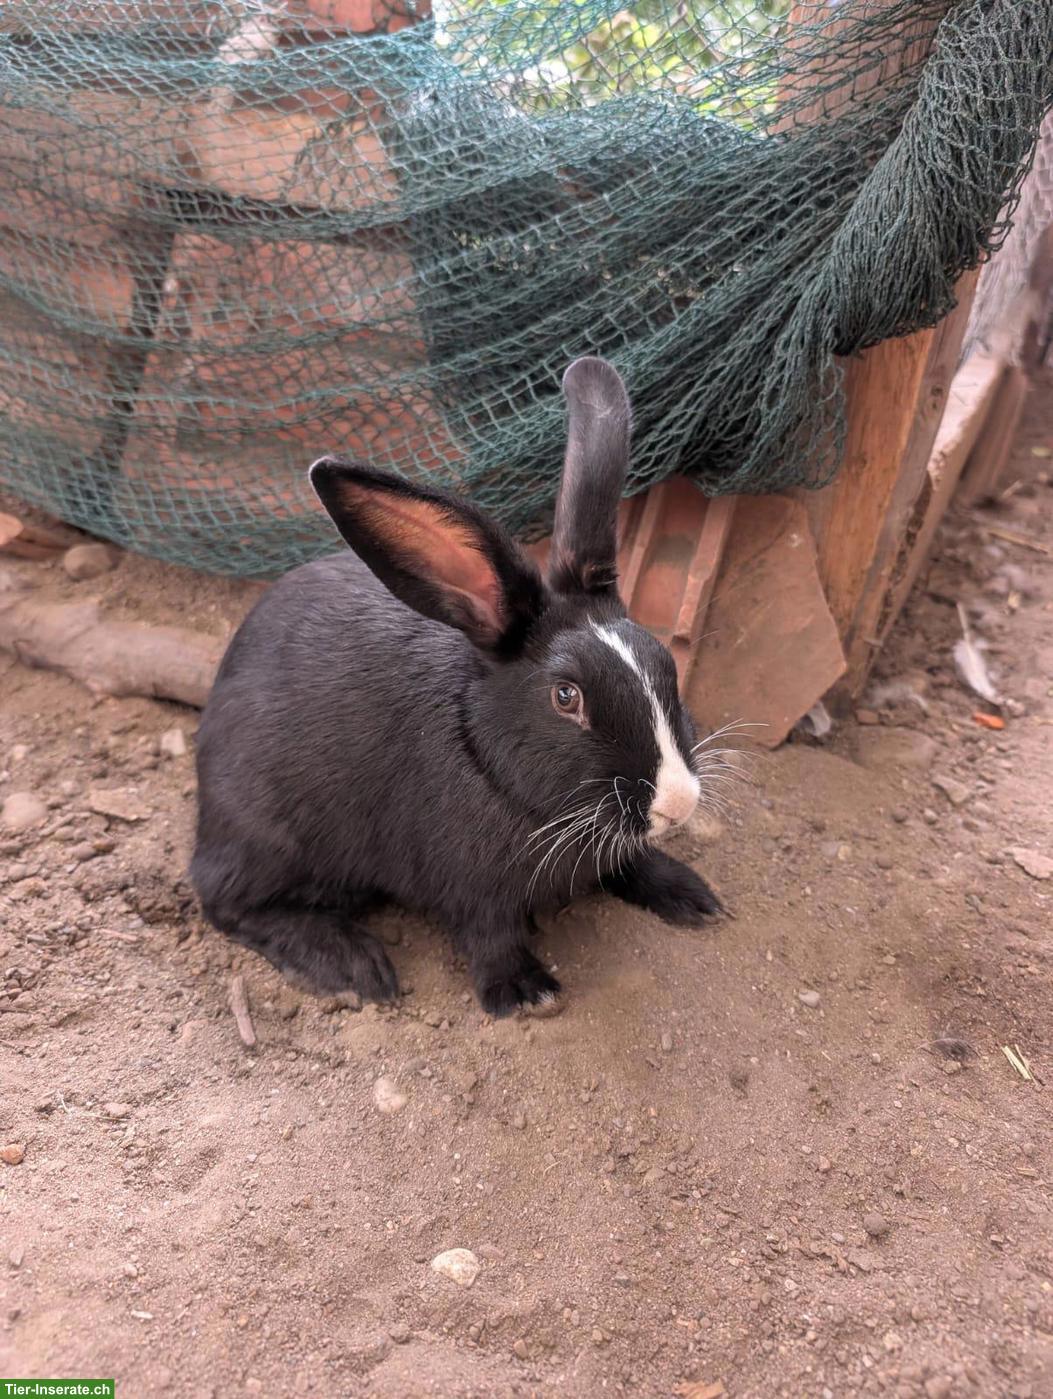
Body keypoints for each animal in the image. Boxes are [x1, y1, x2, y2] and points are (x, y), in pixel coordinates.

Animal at [190, 356, 722, 1015]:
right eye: (566, 697)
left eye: (665, 663)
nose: (678, 803)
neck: (490, 762)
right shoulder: (470, 884)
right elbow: (488, 932)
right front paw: (526, 993)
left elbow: (631, 863)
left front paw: (693, 896)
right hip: (268, 833)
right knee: (225, 900)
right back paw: (350, 965)